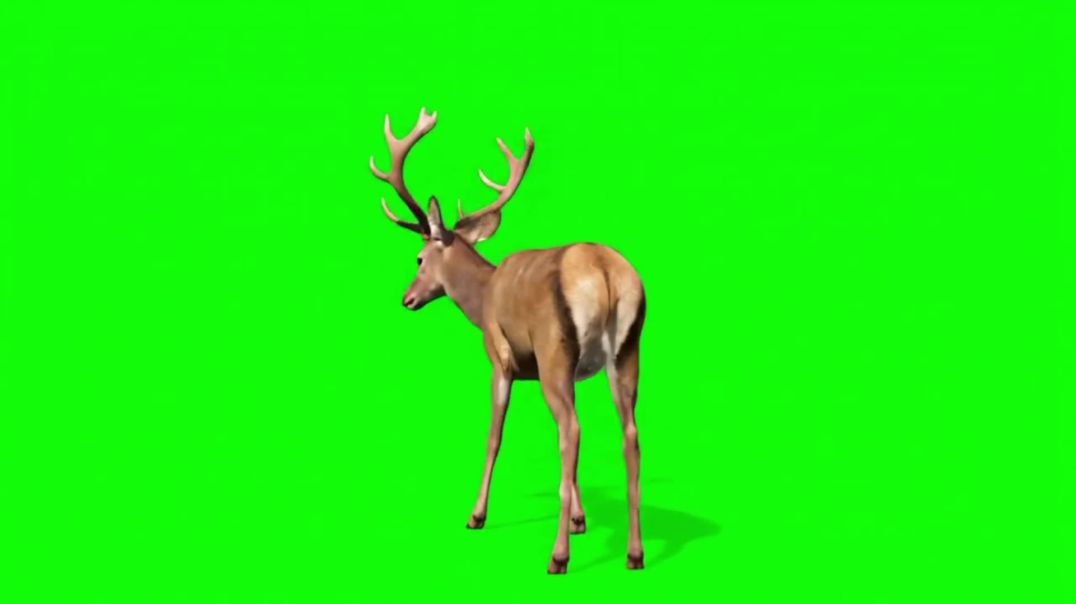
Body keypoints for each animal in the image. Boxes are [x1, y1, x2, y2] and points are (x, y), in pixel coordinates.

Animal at [369, 108, 646, 574]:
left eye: (419, 259)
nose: (407, 298)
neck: (482, 298)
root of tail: (607, 275)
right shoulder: (557, 371)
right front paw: (580, 519)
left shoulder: (500, 359)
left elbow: (493, 436)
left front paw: (476, 514)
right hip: (628, 351)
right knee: (629, 433)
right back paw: (634, 552)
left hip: (555, 350)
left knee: (571, 429)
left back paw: (557, 556)